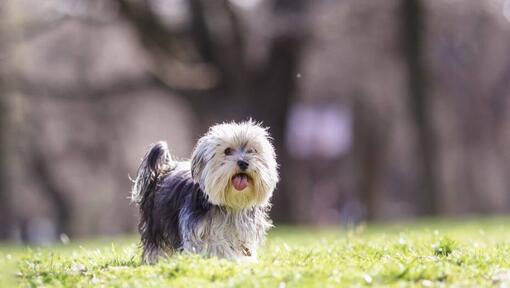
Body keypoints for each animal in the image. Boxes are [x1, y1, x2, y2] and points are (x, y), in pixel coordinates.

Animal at [129, 120, 276, 264]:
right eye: (227, 151)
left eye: (252, 151)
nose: (243, 163)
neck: (231, 206)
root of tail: (165, 169)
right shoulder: (196, 230)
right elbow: (215, 246)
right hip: (156, 223)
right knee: (156, 244)